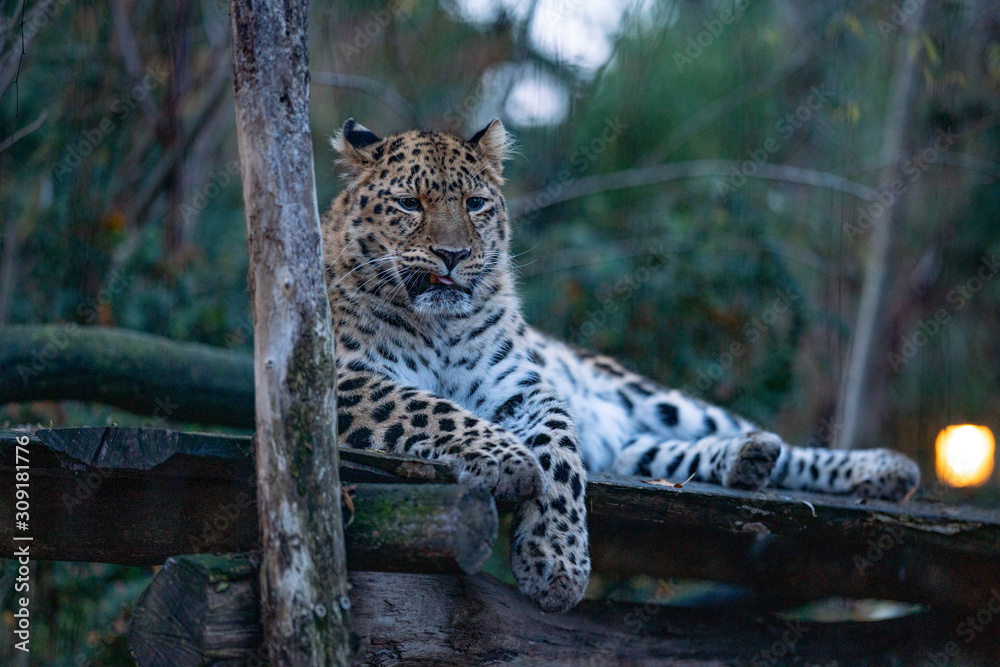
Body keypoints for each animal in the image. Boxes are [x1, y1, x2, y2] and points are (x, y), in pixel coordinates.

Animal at [321, 117, 921, 613]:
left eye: (474, 204)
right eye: (409, 204)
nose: (454, 255)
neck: (439, 324)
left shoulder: (524, 389)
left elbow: (560, 455)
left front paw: (556, 562)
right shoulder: (344, 378)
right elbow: (429, 407)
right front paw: (510, 462)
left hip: (655, 399)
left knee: (763, 441)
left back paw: (881, 469)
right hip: (630, 445)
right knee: (665, 455)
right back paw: (748, 460)